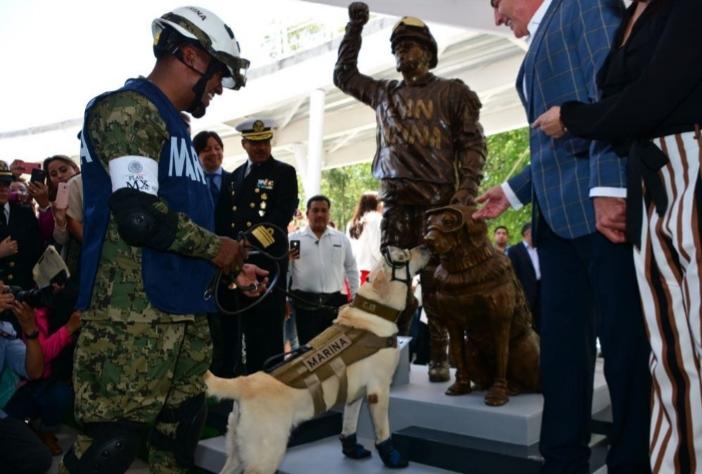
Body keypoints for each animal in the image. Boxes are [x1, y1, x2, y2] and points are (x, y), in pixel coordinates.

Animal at [205, 244, 434, 474]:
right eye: (404, 255)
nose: (425, 245)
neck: (375, 310)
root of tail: (244, 383)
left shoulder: (355, 395)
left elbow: (348, 425)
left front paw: (352, 450)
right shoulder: (379, 390)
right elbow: (383, 432)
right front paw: (392, 458)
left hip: (236, 454)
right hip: (265, 456)